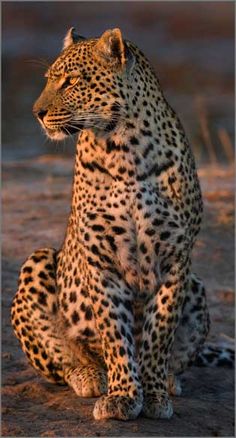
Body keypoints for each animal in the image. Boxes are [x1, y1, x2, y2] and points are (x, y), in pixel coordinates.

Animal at [10, 28, 212, 420]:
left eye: (71, 81)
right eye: (49, 80)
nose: (37, 113)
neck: (125, 149)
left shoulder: (176, 260)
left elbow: (157, 334)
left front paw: (152, 393)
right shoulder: (101, 259)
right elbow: (116, 335)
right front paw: (122, 396)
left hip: (196, 286)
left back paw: (168, 381)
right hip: (37, 260)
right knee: (65, 363)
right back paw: (90, 376)